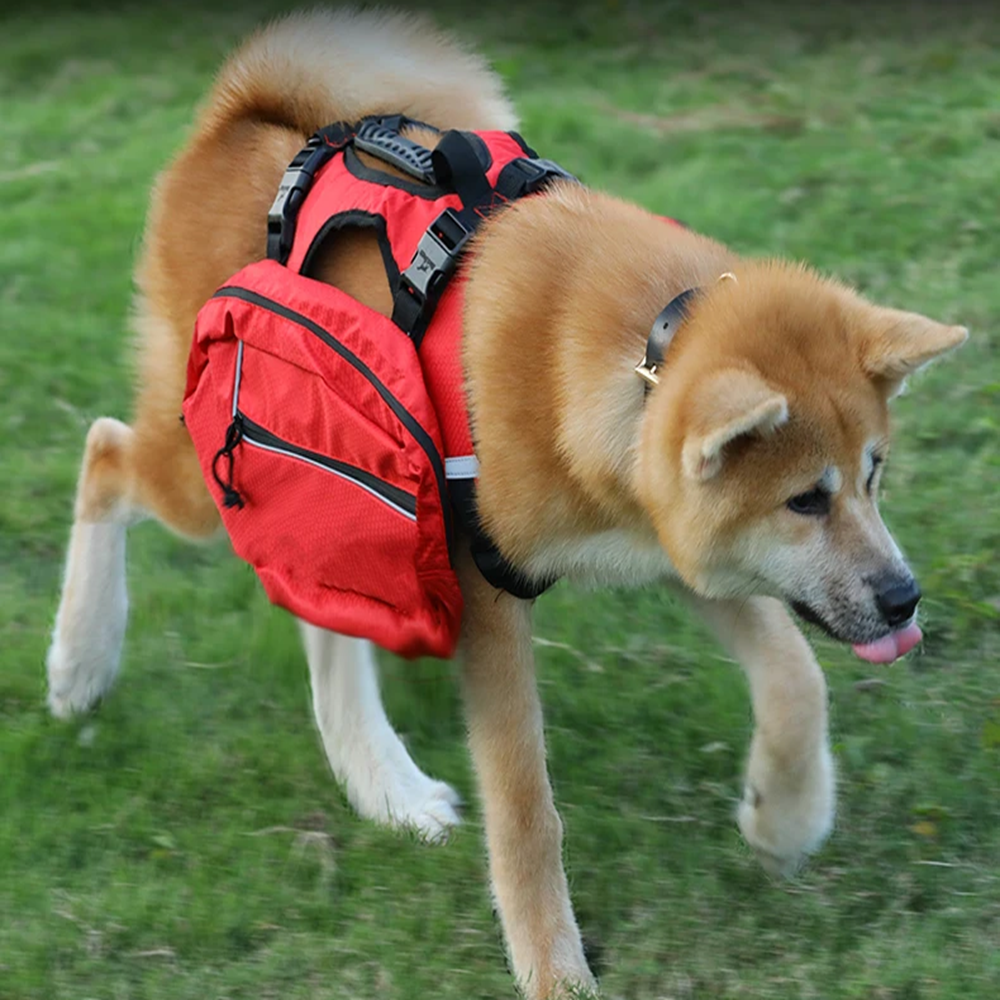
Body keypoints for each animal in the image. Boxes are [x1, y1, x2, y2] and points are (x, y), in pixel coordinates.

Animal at [43, 9, 964, 1000]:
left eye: (873, 474)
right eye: (803, 501)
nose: (904, 599)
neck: (637, 358)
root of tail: (240, 115)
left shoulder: (671, 538)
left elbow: (797, 680)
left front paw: (784, 818)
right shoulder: (485, 591)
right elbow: (526, 809)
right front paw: (554, 966)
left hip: (336, 490)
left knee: (322, 612)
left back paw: (383, 784)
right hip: (211, 474)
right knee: (105, 452)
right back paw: (81, 662)